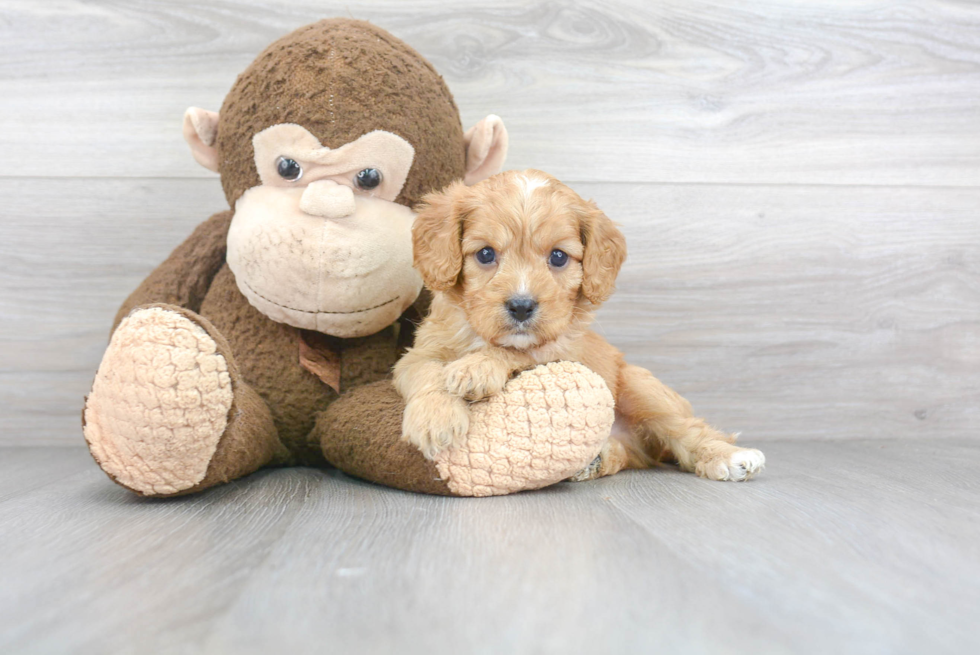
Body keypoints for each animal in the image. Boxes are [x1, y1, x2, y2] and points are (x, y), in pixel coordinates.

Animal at [394, 169, 760, 482]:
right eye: (485, 254)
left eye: (558, 257)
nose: (522, 306)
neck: (480, 335)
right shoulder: (416, 354)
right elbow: (427, 373)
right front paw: (435, 418)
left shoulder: (563, 351)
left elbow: (522, 353)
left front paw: (478, 367)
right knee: (627, 454)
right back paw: (596, 460)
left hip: (639, 385)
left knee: (687, 430)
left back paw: (729, 456)